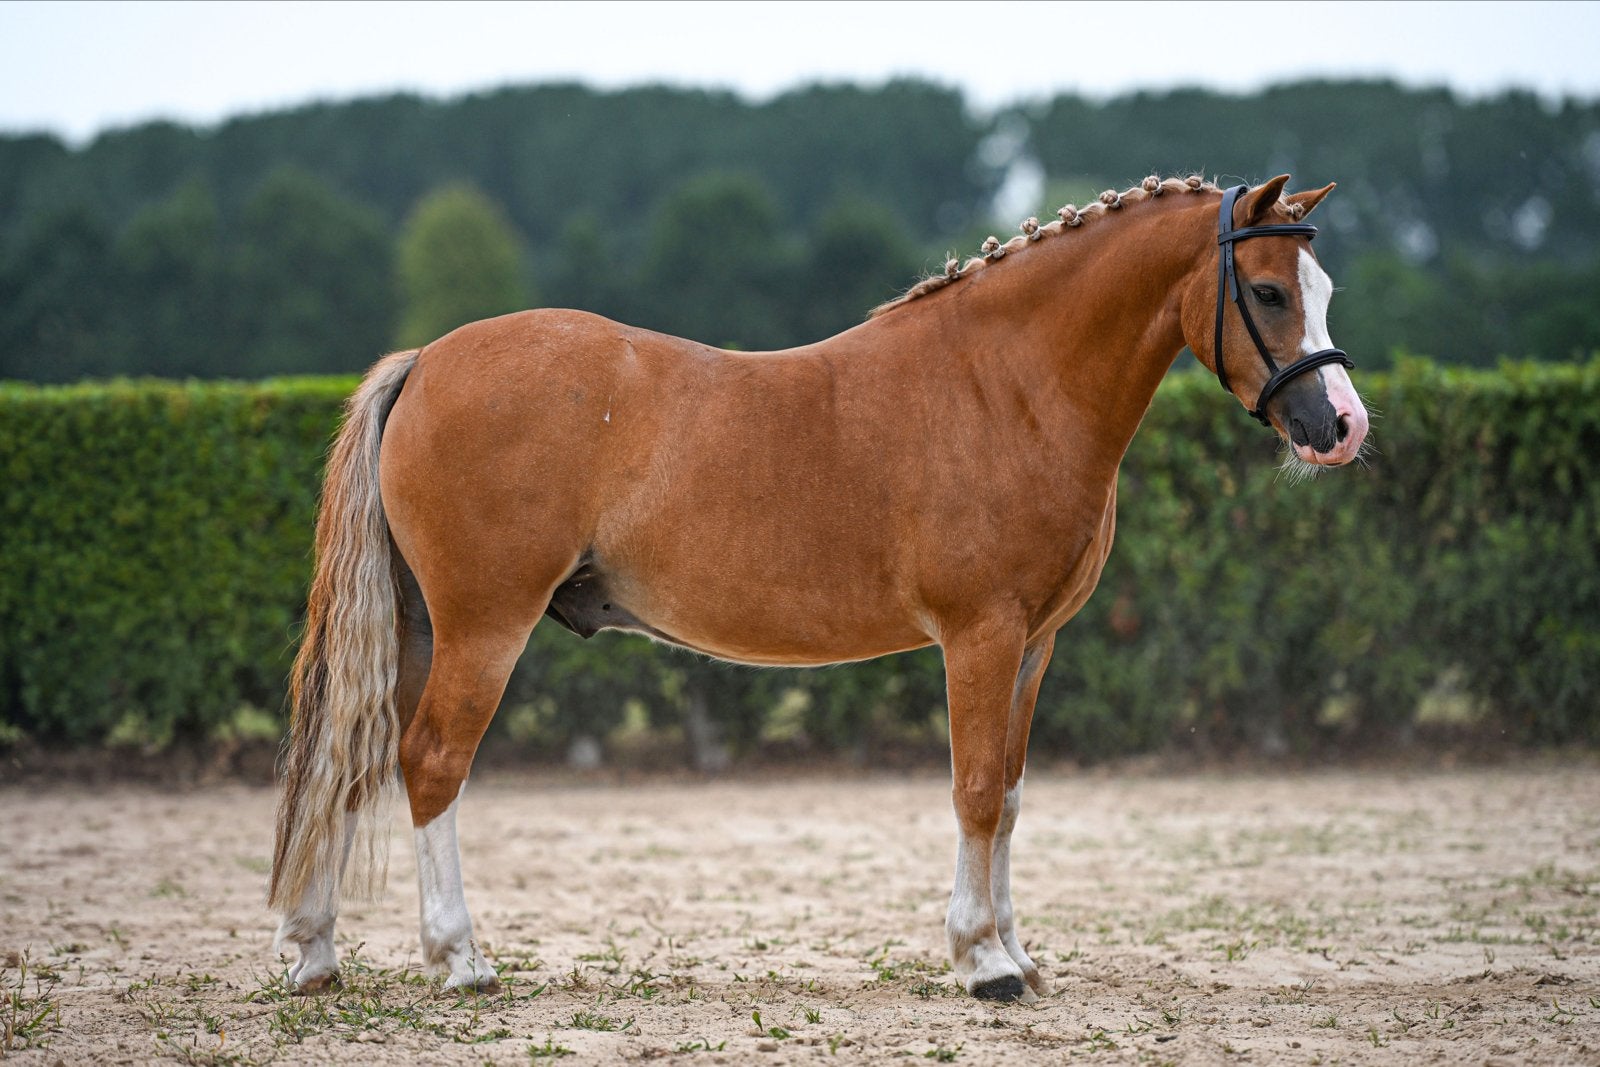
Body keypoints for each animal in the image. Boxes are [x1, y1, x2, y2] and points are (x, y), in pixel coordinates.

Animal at [268, 174, 1368, 1002]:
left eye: (1319, 285)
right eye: (1268, 291)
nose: (1343, 427)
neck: (1007, 384)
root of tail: (426, 362)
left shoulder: (1035, 642)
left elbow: (1010, 795)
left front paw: (1016, 951)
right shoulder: (980, 634)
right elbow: (974, 788)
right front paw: (981, 962)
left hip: (420, 625)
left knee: (359, 759)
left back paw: (315, 951)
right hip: (484, 625)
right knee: (431, 763)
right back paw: (460, 960)